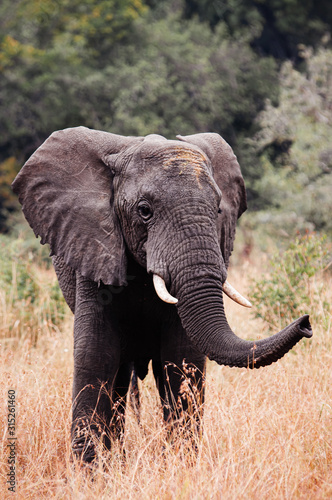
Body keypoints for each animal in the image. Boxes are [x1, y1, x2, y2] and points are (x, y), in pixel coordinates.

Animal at [11, 127, 312, 462]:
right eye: (144, 211)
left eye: (218, 210)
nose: (306, 322)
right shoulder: (93, 246)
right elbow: (96, 355)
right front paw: (89, 471)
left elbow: (181, 359)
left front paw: (182, 464)